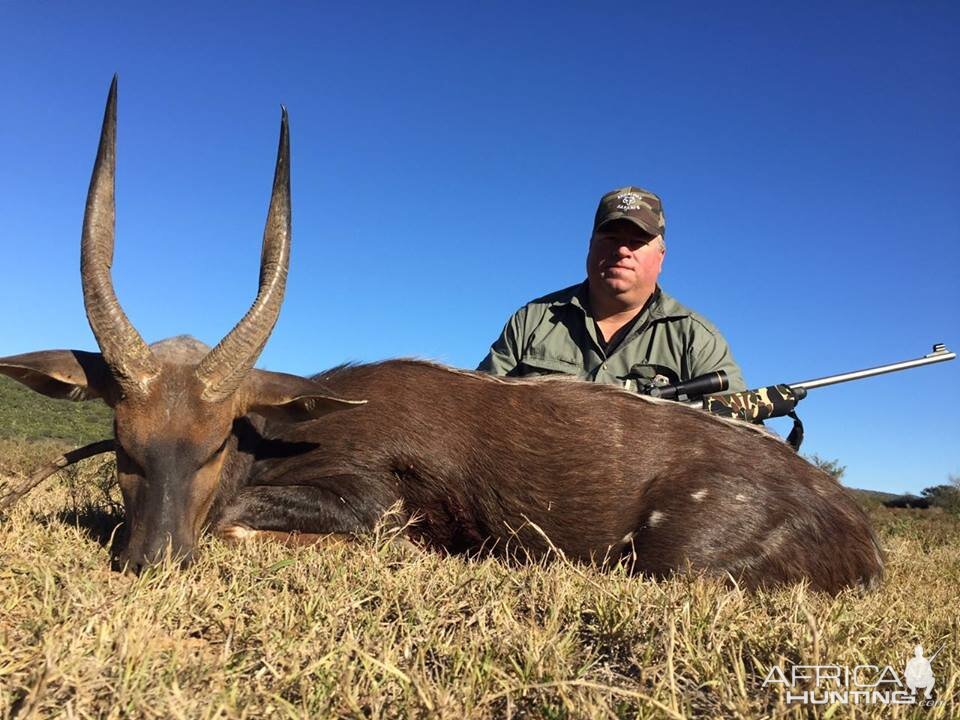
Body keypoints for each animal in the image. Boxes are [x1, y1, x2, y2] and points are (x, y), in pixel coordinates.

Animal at [1, 83, 884, 592]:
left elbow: (243, 521)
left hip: (680, 559)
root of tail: (858, 530)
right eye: (123, 443)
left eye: (216, 443)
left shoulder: (376, 501)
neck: (285, 434)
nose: (152, 562)